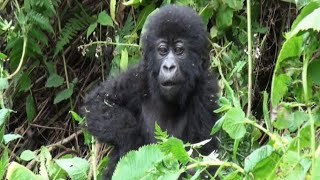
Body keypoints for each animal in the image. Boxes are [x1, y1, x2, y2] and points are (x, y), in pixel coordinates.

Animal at [81, 4, 219, 179]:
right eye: (163, 50)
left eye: (179, 50)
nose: (168, 67)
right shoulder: (139, 76)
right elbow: (98, 103)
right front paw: (132, 138)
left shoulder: (206, 91)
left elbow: (204, 156)